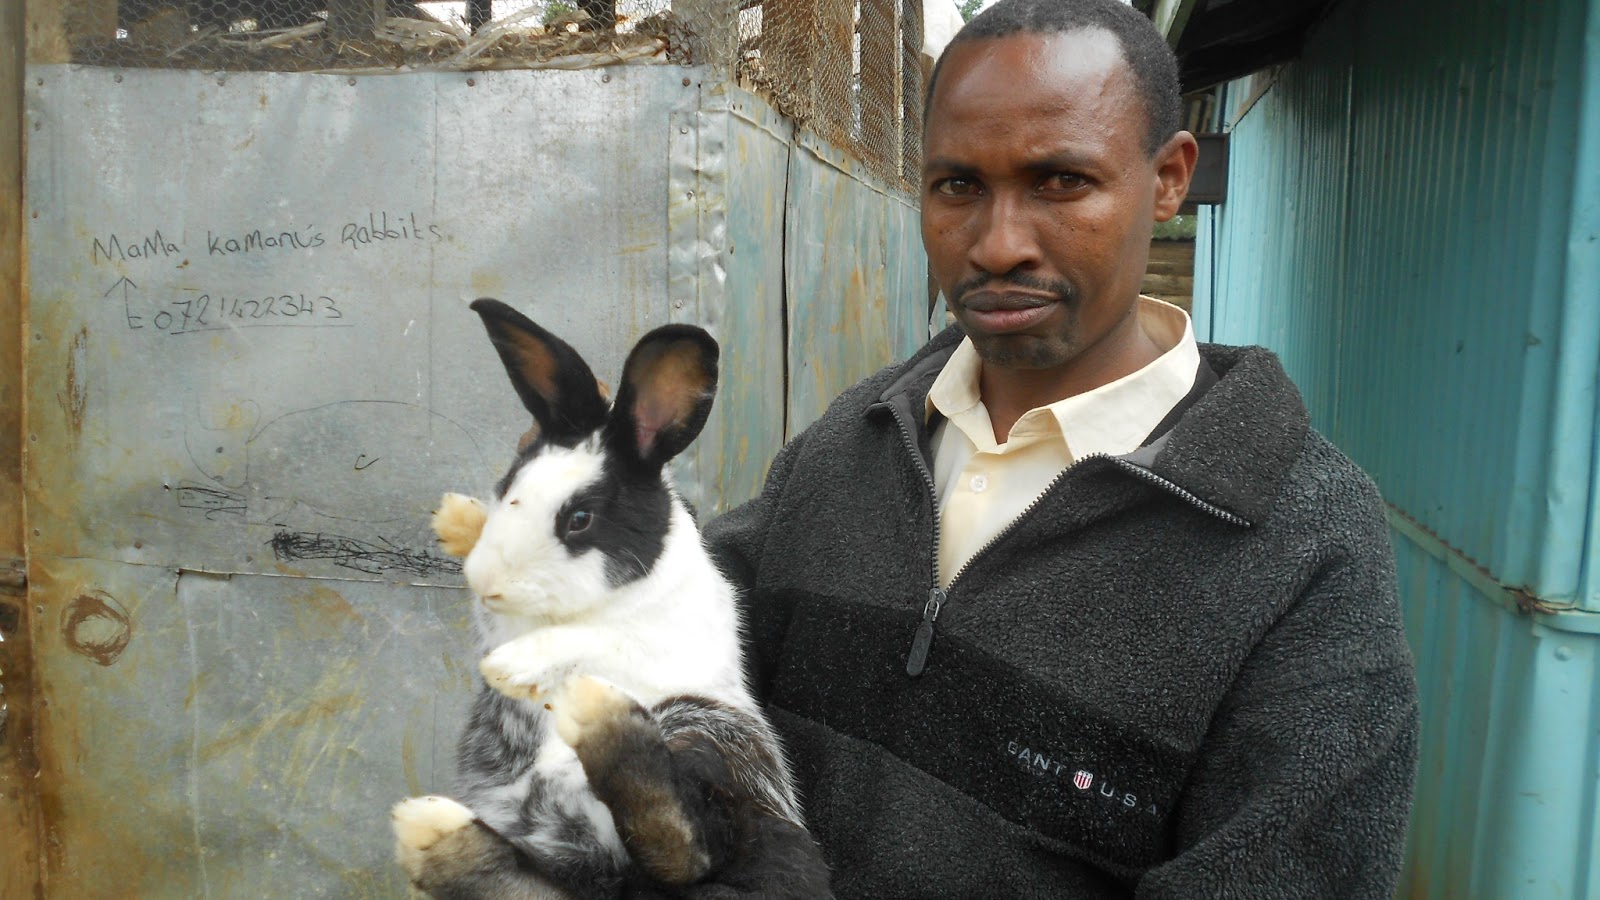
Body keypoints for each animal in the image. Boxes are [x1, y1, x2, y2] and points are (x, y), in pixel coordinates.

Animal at [392, 298, 832, 900]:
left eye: (579, 518)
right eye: (508, 487)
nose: (487, 581)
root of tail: (616, 878)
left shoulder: (649, 637)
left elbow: (587, 638)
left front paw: (510, 667)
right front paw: (457, 519)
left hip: (712, 730)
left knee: (692, 846)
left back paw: (598, 715)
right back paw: (434, 833)